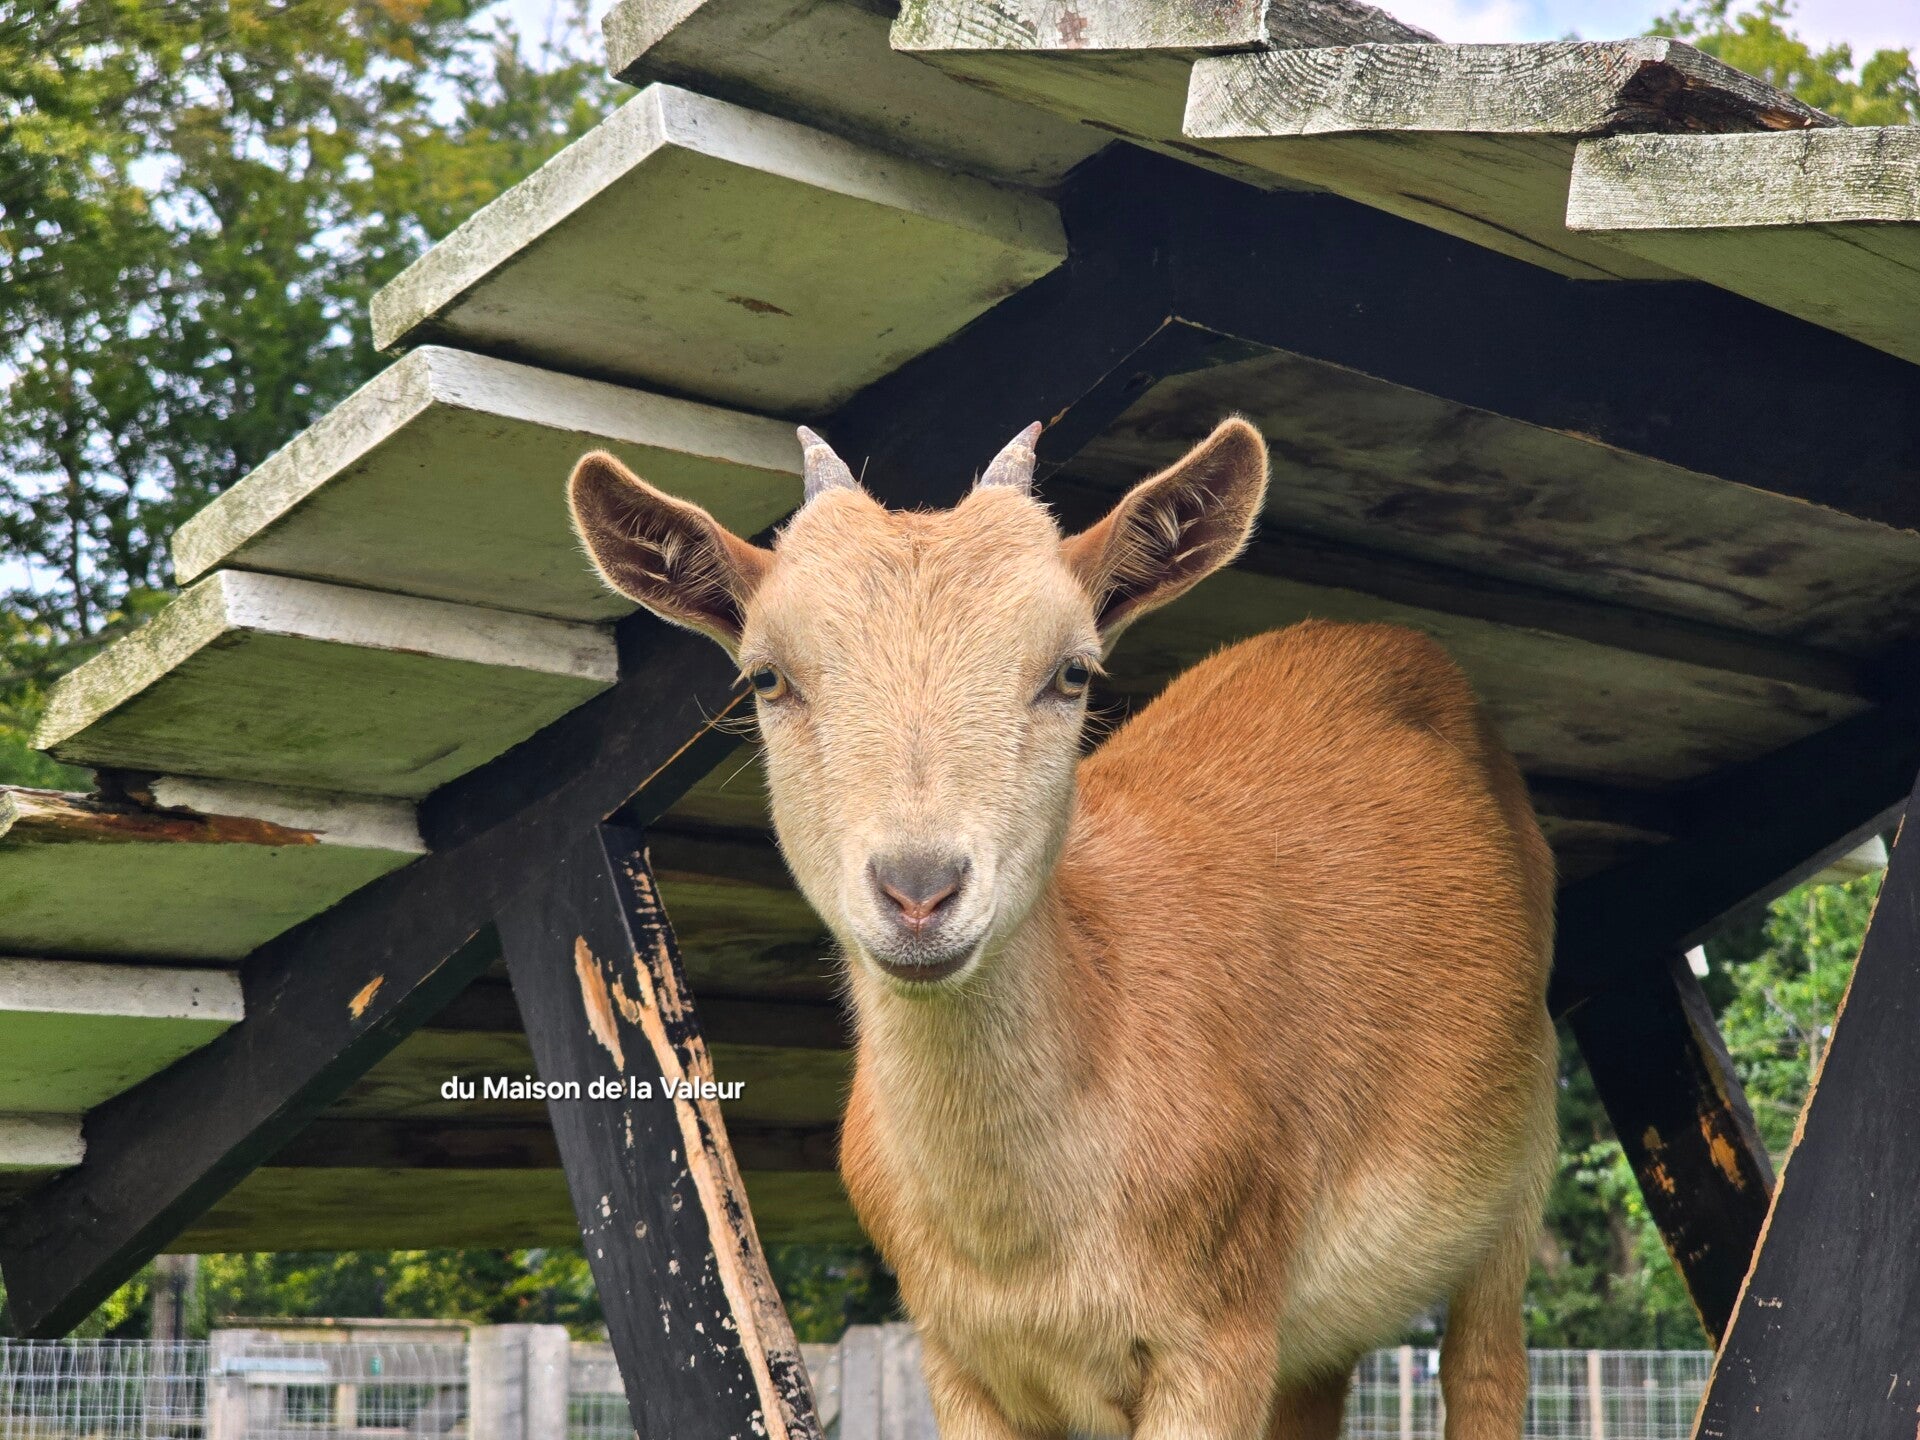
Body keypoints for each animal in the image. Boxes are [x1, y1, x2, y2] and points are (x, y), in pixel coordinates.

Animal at [568, 417, 1558, 1440]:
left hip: (1518, 1171)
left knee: (1487, 1366)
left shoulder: (1219, 1339)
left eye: (1071, 671)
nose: (919, 891)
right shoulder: (960, 1358)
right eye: (766, 676)